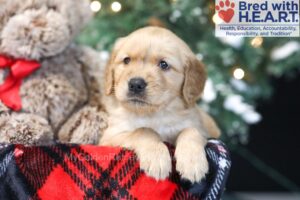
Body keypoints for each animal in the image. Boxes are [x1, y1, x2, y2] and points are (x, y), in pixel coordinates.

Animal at [99, 26, 219, 183]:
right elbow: (144, 130)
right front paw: (156, 158)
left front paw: (192, 162)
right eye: (126, 60)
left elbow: (191, 130)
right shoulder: (109, 138)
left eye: (164, 64)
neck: (153, 114)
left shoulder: (199, 128)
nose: (135, 84)